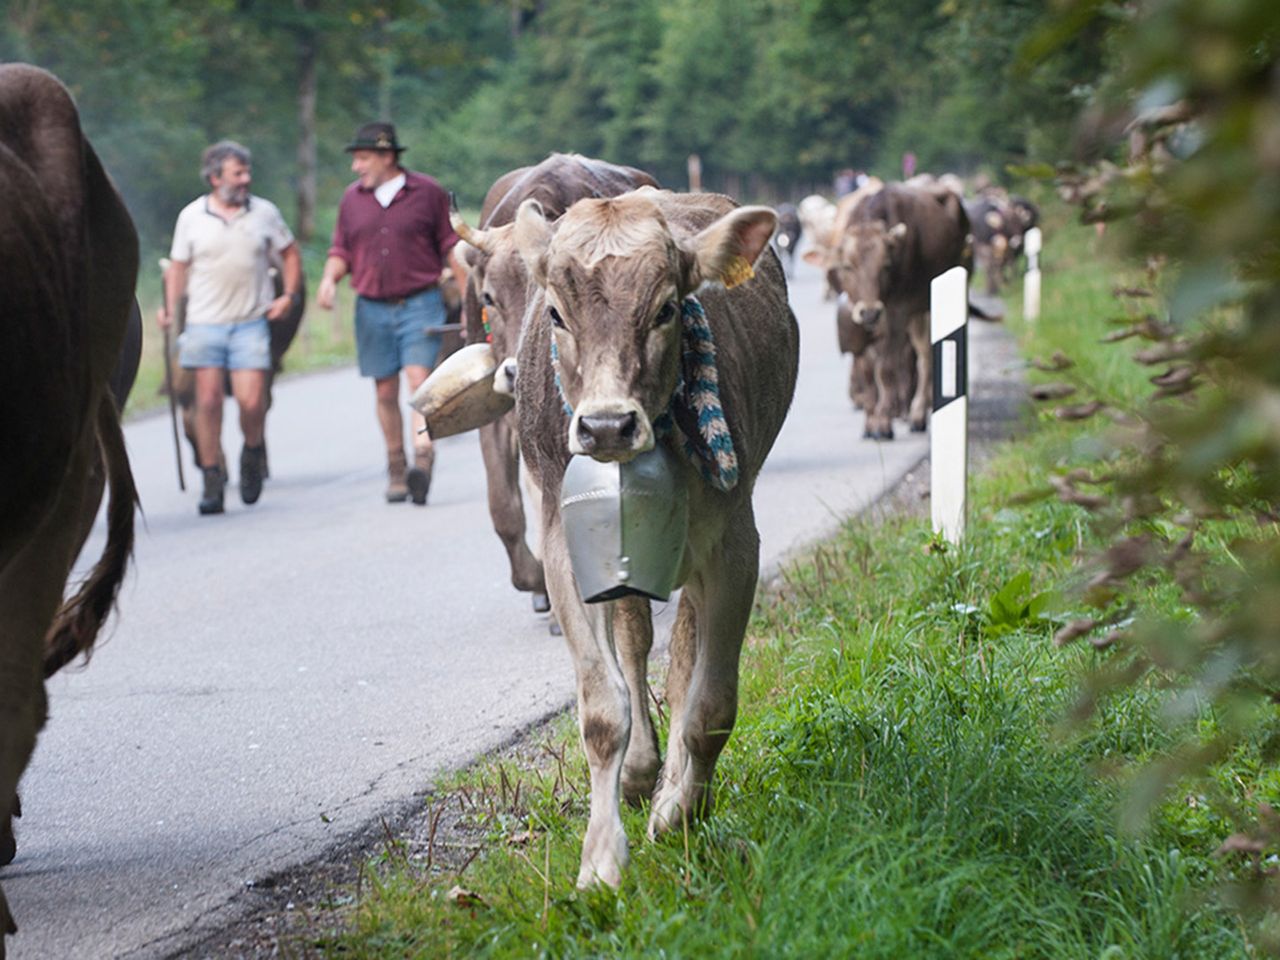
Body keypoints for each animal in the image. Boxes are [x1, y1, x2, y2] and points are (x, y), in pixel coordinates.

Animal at [509, 187, 798, 886]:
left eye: (666, 307)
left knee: (684, 649)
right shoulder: (563, 550)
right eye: (556, 313)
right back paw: (641, 774)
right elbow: (601, 709)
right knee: (638, 639)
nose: (607, 426)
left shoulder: (736, 545)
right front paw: (600, 860)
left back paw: (667, 788)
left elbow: (711, 706)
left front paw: (682, 810)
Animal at [816, 183, 969, 439]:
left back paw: (917, 415)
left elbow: (886, 368)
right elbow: (868, 369)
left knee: (924, 358)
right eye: (847, 266)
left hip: (926, 306)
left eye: (886, 265)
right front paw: (870, 422)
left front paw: (882, 423)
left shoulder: (898, 312)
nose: (870, 312)